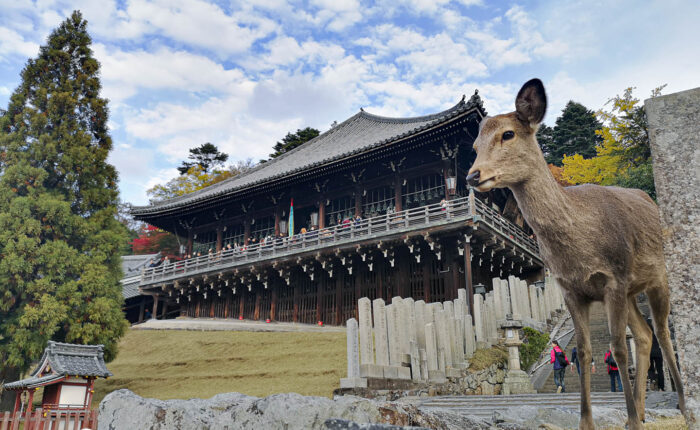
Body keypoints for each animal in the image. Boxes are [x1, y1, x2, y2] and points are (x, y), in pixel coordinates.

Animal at [468, 79, 688, 428]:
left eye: (508, 134)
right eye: (475, 146)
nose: (473, 176)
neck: (580, 250)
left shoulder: (614, 277)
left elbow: (617, 347)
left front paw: (632, 418)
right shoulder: (571, 289)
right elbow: (584, 352)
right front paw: (588, 421)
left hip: (657, 277)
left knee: (663, 332)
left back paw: (680, 406)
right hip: (631, 291)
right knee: (643, 335)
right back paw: (639, 412)